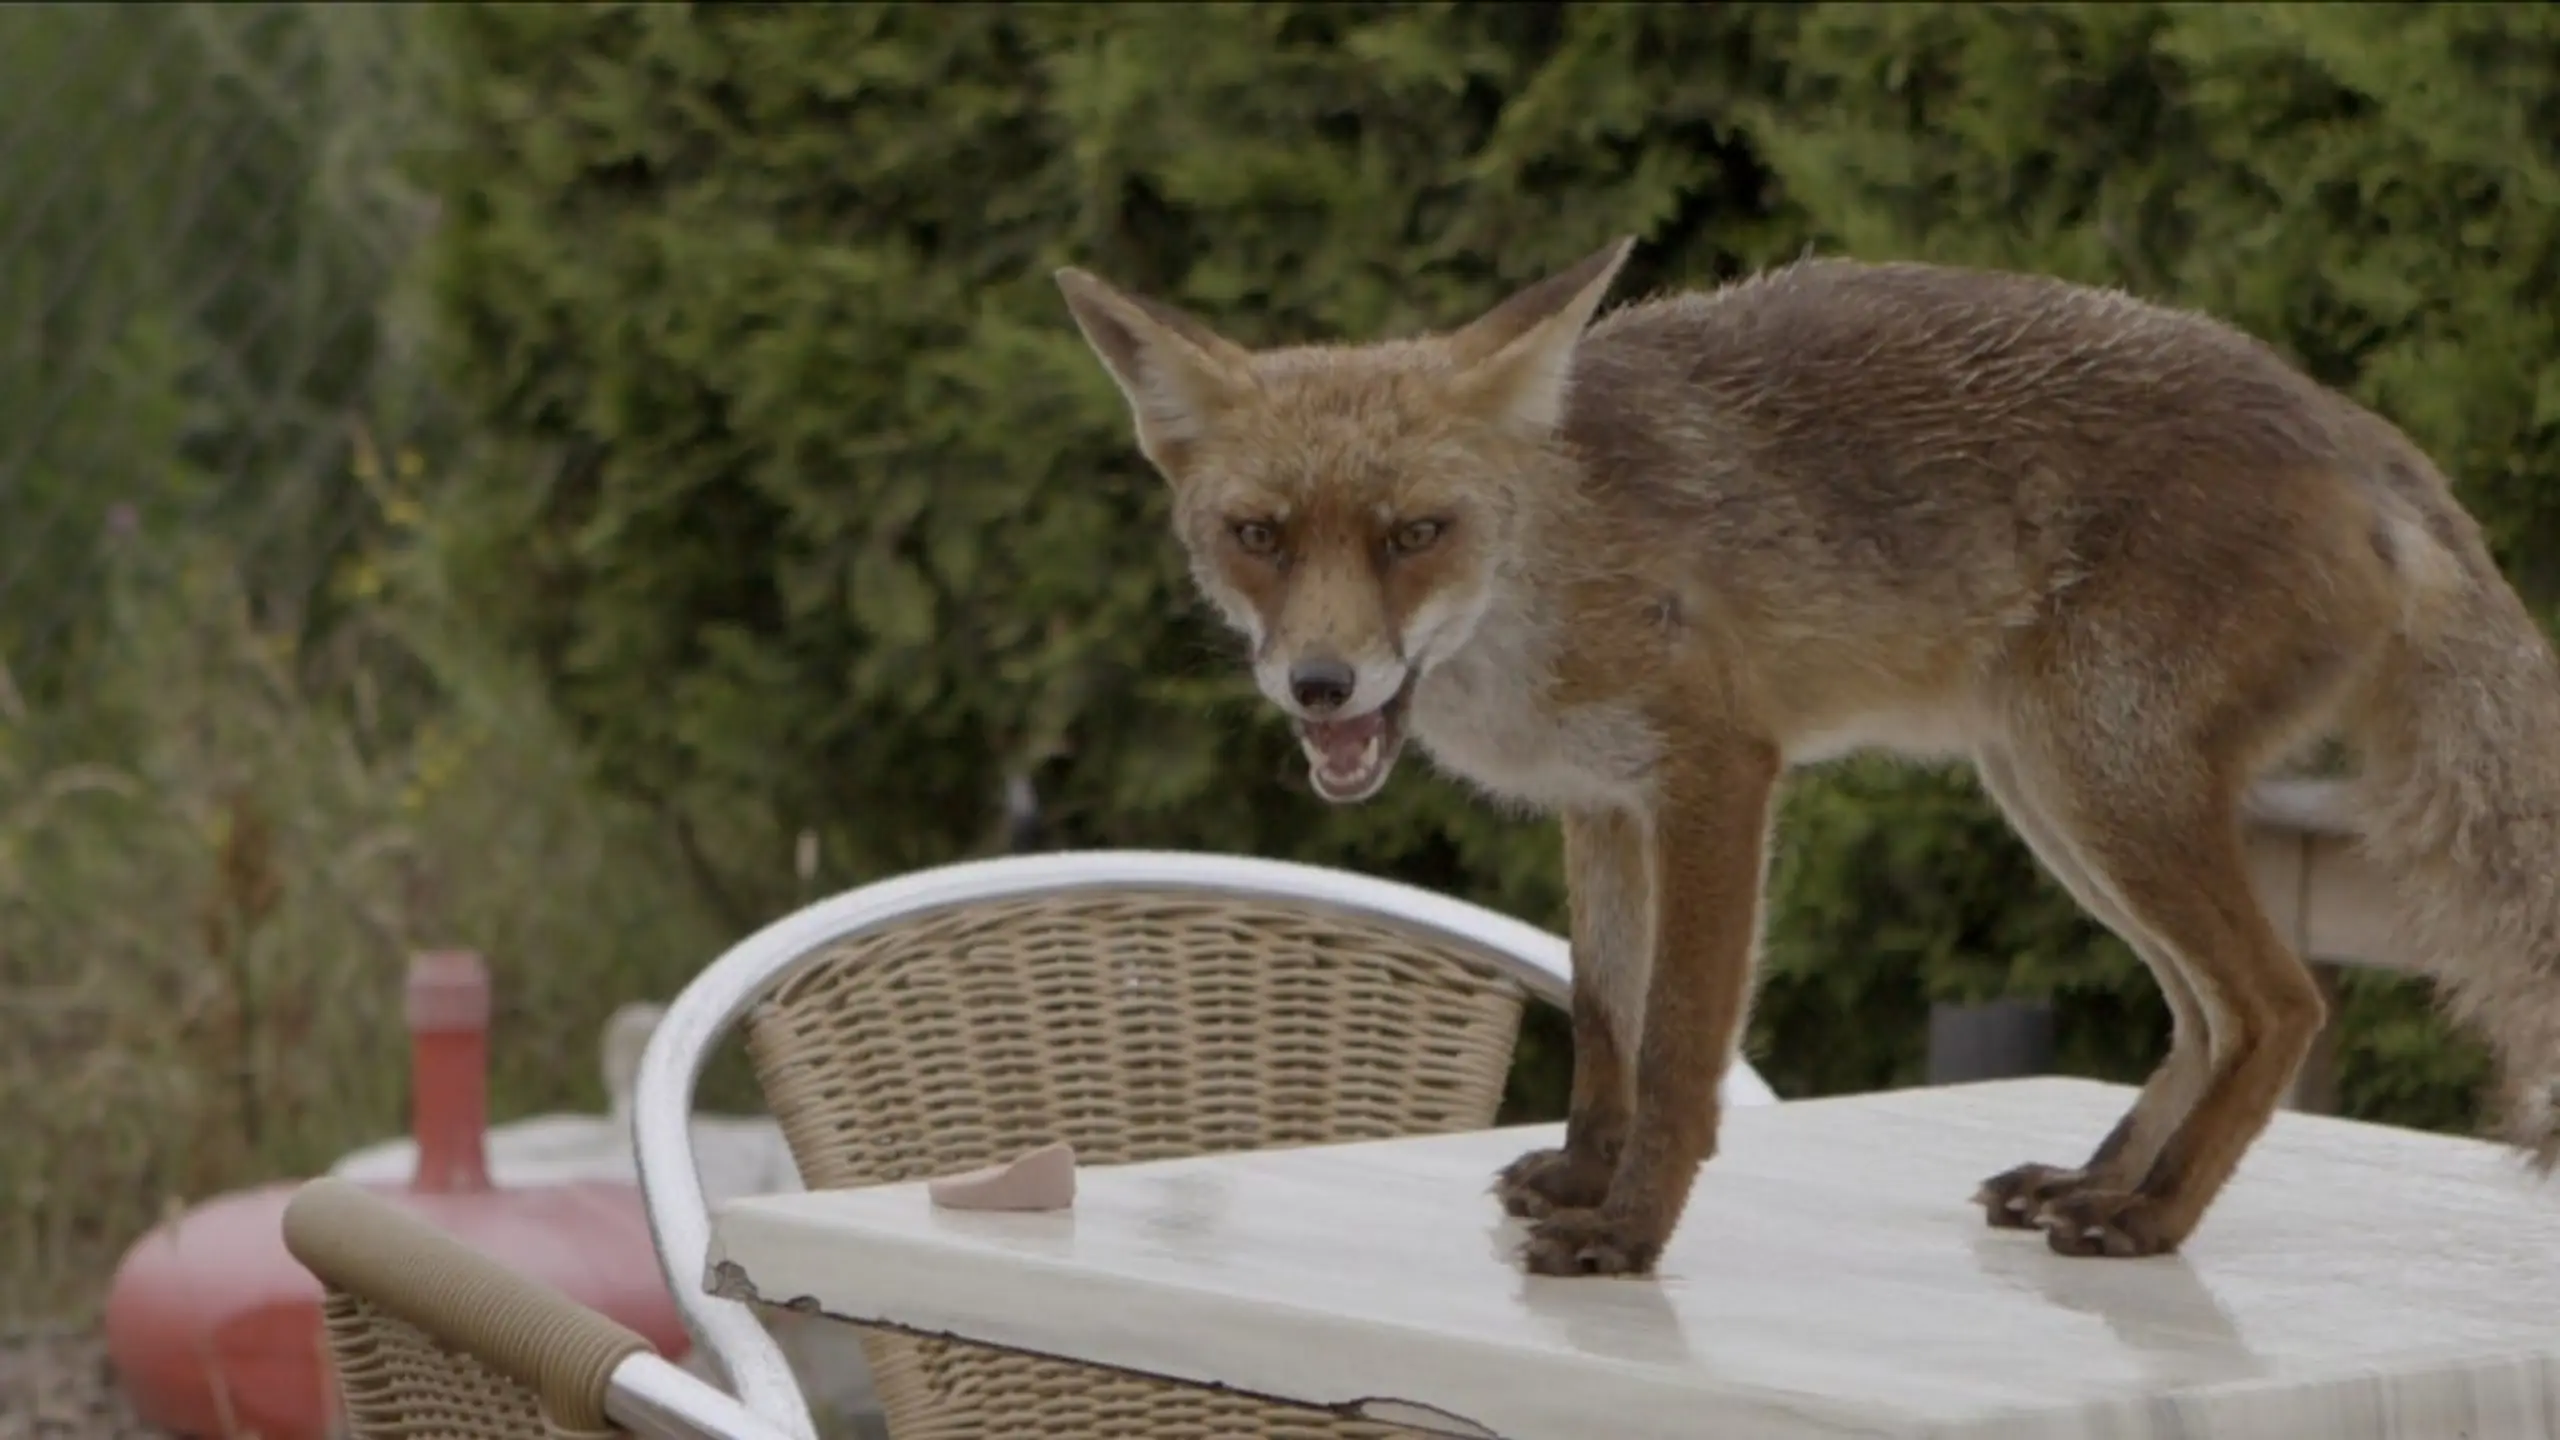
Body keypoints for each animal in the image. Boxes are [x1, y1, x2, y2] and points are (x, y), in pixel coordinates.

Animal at [1049, 235, 2560, 1276]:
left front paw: (1629, 1237)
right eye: (1258, 535)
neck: (1550, 570)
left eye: (1416, 533)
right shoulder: (1601, 806)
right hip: (2054, 798)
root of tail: (2357, 429)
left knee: (2281, 1006)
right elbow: (1602, 1026)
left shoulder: (1718, 777)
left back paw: (2156, 1219)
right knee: (2206, 1015)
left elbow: (1675, 1047)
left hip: (2104, 786)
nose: (1322, 681)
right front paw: (1587, 1181)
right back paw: (2102, 1183)